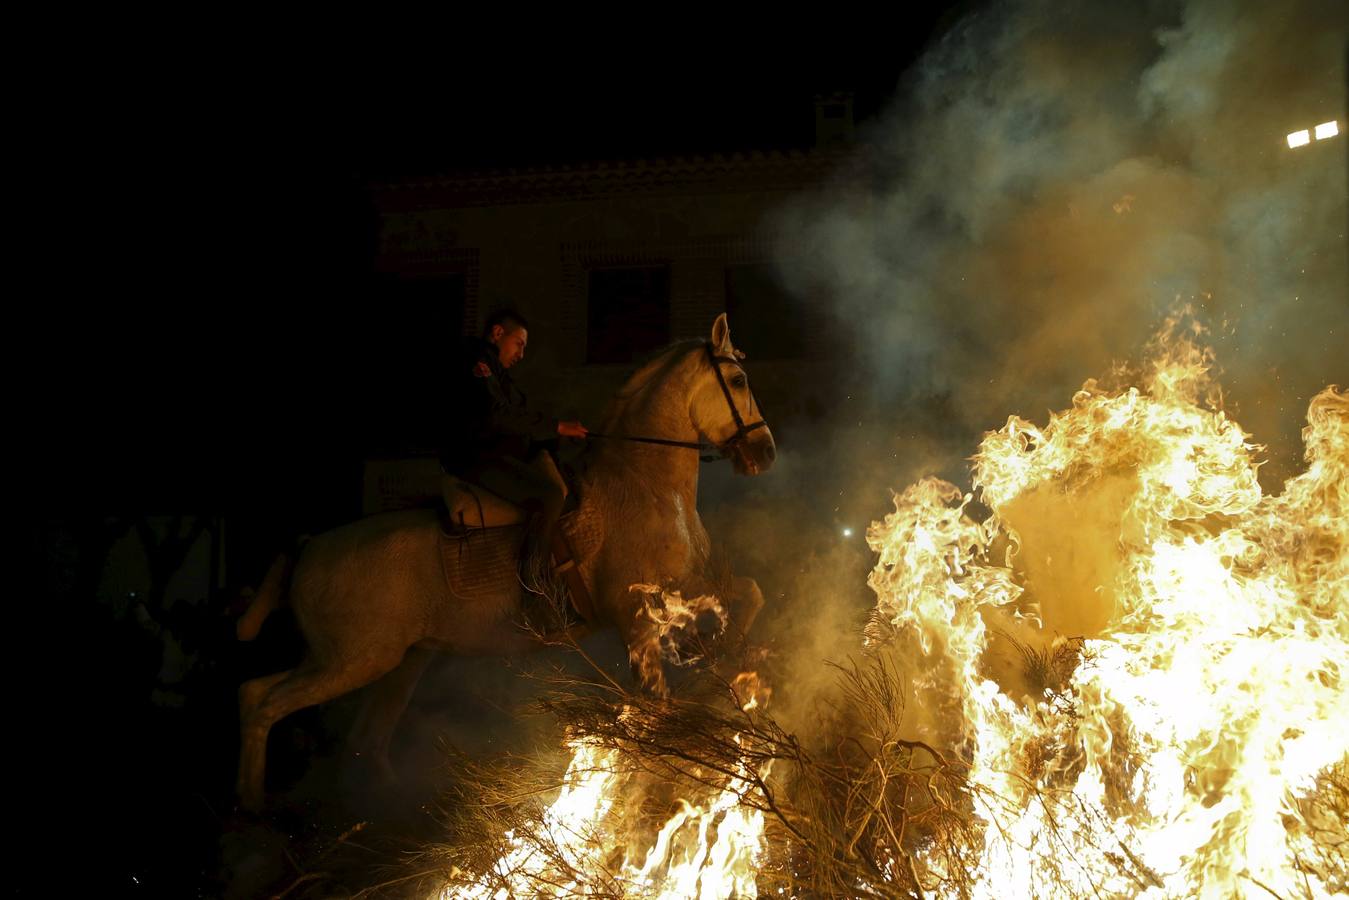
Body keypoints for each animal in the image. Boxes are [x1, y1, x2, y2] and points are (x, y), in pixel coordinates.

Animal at [236, 313, 777, 814]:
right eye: (738, 381)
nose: (765, 453)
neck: (643, 485)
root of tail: (310, 546)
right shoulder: (638, 618)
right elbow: (657, 696)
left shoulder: (690, 585)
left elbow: (751, 592)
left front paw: (724, 658)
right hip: (355, 660)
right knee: (264, 704)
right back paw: (254, 806)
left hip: (388, 660)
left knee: (318, 718)